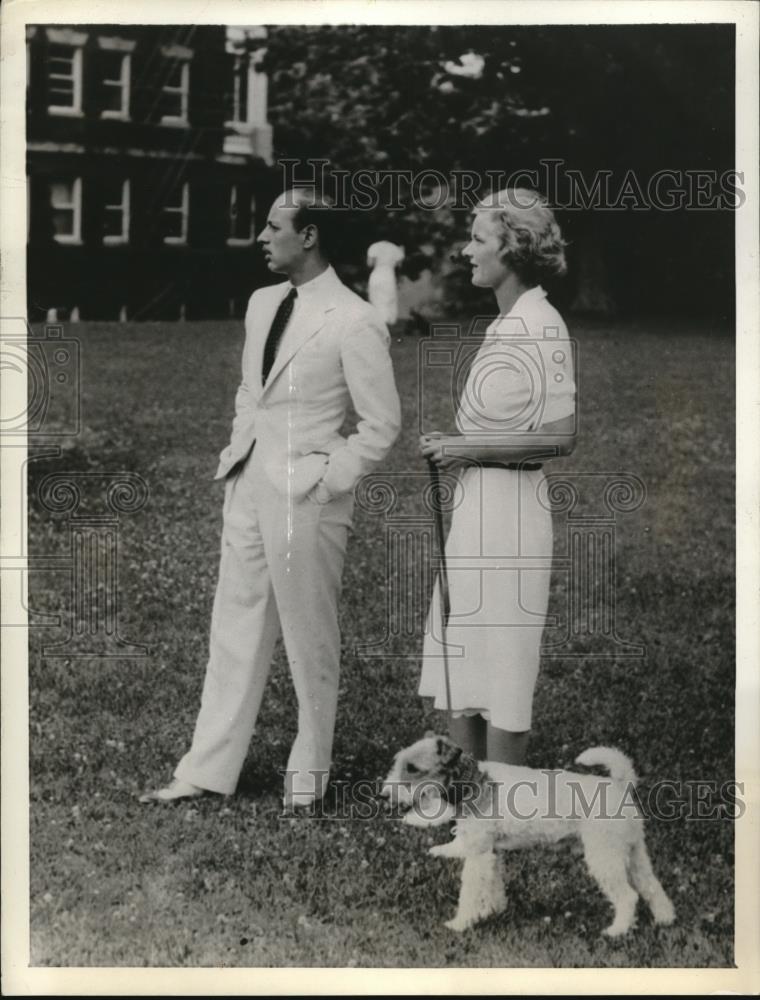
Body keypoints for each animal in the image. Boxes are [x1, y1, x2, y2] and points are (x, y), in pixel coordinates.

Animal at [382, 732, 672, 932]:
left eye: (412, 768)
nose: (384, 794)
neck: (474, 782)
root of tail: (621, 785)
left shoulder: (478, 854)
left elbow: (470, 892)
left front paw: (461, 923)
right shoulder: (492, 852)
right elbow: (493, 885)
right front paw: (490, 911)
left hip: (604, 858)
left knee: (629, 896)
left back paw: (617, 932)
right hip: (634, 852)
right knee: (652, 886)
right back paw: (665, 918)